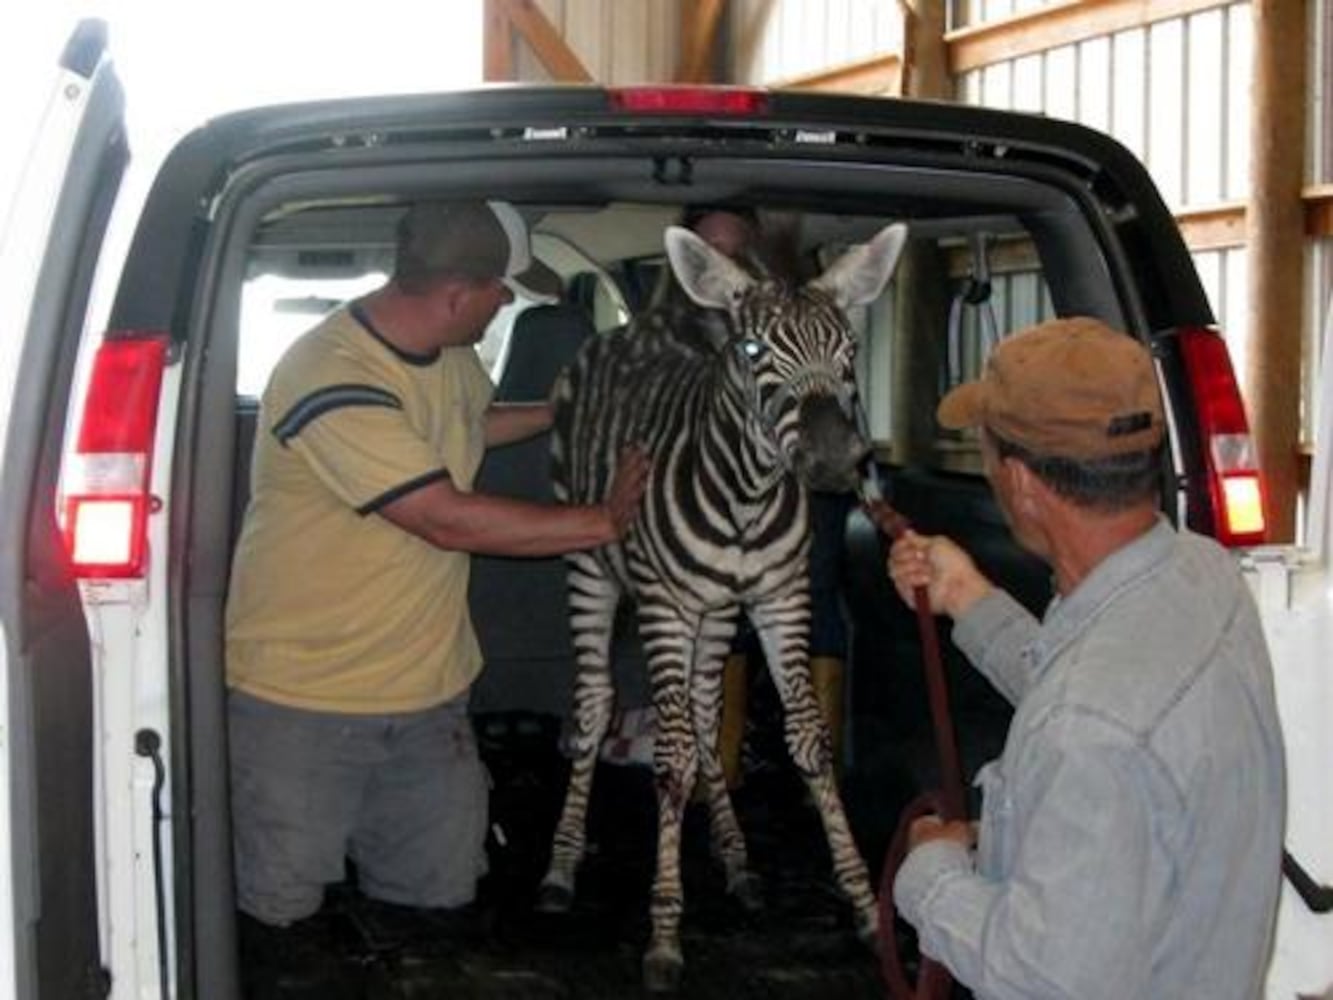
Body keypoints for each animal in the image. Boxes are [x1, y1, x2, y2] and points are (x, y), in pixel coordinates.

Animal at [538, 221, 906, 997]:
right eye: (753, 352)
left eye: (849, 349)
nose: (837, 461)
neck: (747, 497)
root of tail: (635, 324)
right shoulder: (664, 607)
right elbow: (671, 758)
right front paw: (664, 932)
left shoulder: (780, 599)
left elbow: (807, 741)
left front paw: (863, 904)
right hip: (592, 569)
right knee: (594, 705)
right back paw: (560, 866)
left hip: (715, 614)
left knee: (708, 713)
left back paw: (736, 859)